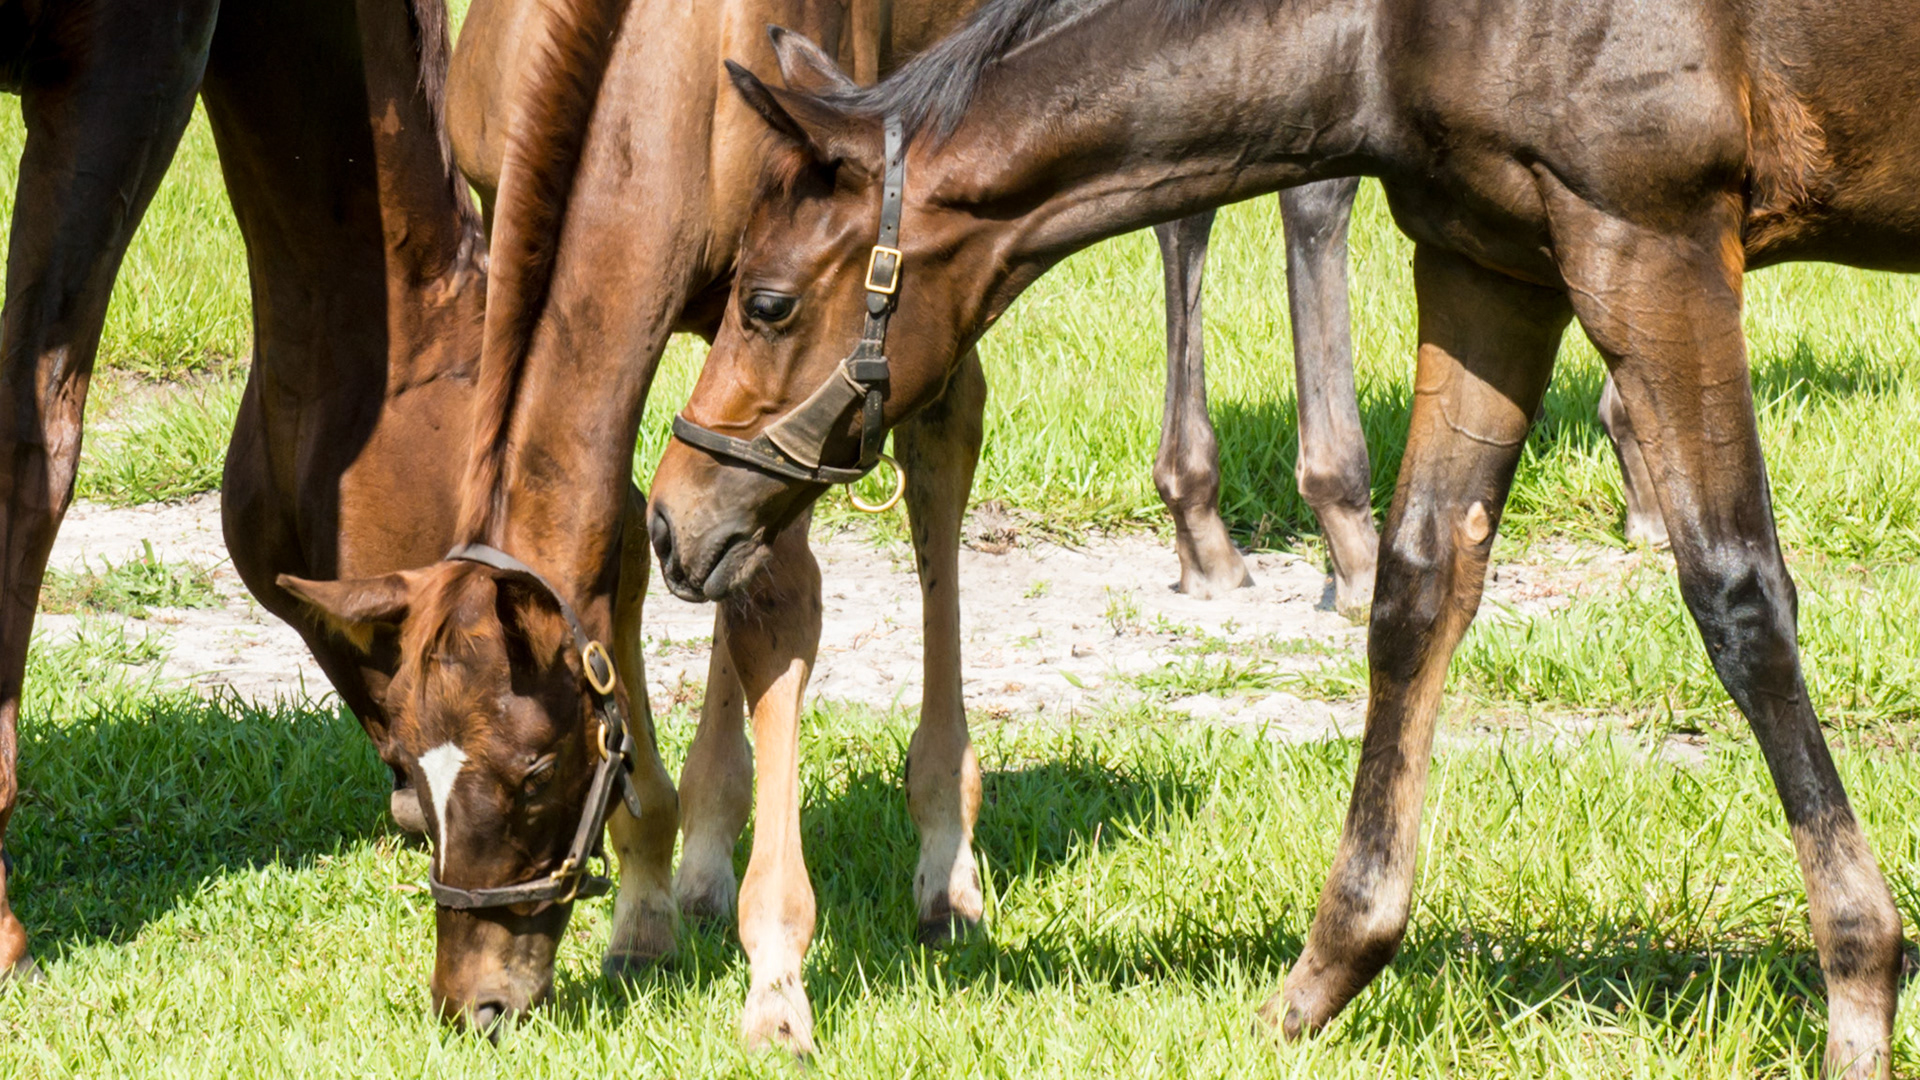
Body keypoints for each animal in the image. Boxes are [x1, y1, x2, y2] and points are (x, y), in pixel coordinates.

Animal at [645, 0, 1919, 1073]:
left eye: (764, 302)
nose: (671, 515)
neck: (1393, 30)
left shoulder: (1650, 242)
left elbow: (1737, 595)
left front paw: (1861, 986)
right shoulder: (1493, 260)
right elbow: (1417, 588)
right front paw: (1328, 971)